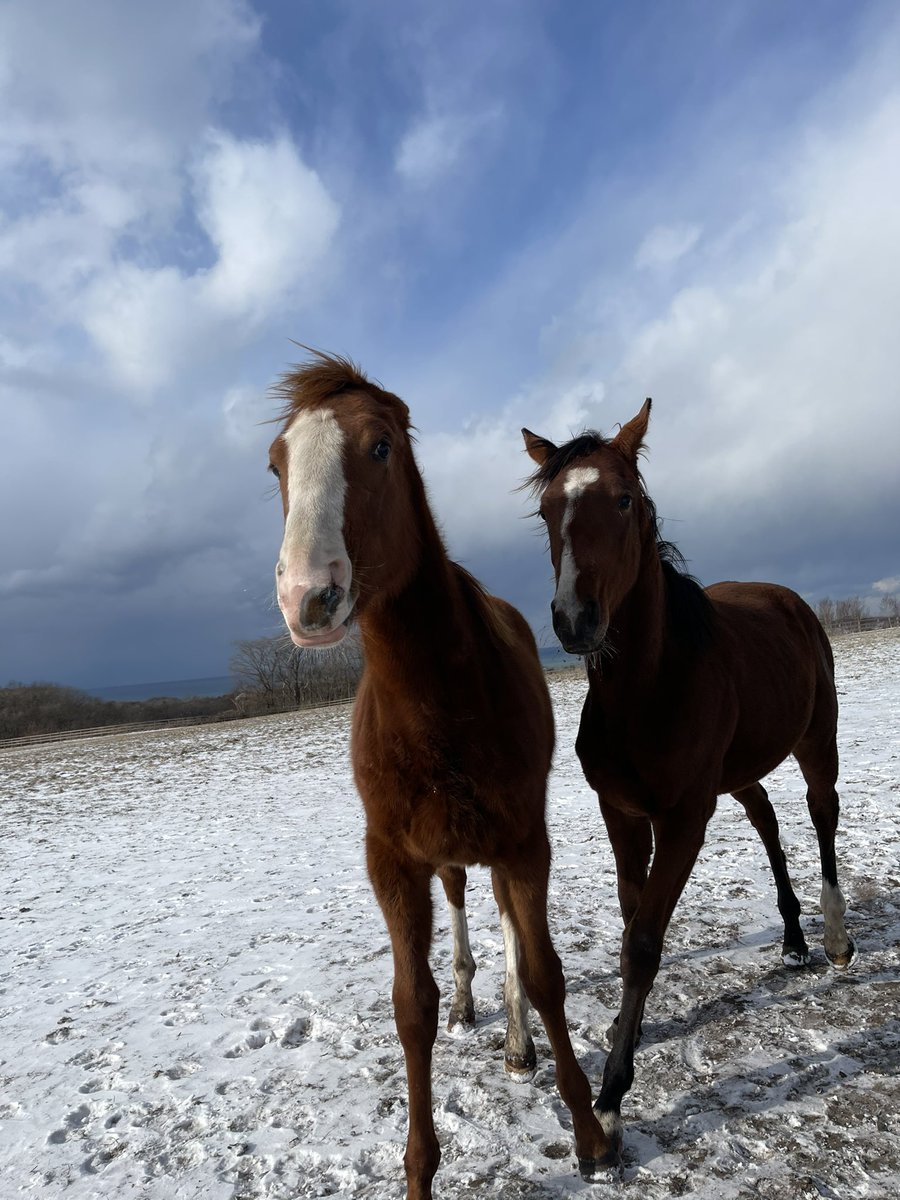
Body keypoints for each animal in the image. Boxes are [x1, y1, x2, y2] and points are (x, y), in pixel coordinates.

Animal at [267, 350, 619, 1195]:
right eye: (276, 465)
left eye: (380, 446)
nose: (308, 596)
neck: (438, 703)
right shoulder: (392, 861)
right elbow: (411, 1007)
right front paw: (419, 1171)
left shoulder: (525, 841)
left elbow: (546, 973)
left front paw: (591, 1135)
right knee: (461, 902)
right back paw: (470, 1001)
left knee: (508, 923)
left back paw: (519, 1042)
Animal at [525, 400, 854, 1161]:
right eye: (548, 509)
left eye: (625, 500)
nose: (574, 620)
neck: (648, 691)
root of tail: (789, 601)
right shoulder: (622, 814)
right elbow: (631, 922)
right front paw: (628, 1033)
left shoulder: (682, 820)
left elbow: (644, 941)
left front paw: (612, 1100)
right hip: (737, 775)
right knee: (767, 820)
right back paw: (792, 937)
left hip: (815, 742)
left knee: (821, 812)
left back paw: (830, 937)